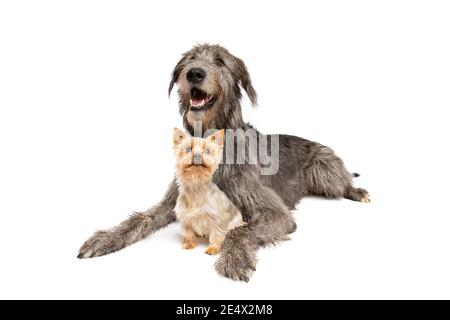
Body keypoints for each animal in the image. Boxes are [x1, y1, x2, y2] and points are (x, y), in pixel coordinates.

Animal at [172, 127, 243, 255]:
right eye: (188, 149)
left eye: (207, 151)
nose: (197, 155)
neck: (196, 185)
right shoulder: (185, 217)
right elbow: (188, 232)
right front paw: (189, 243)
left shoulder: (218, 218)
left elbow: (216, 234)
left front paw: (213, 248)